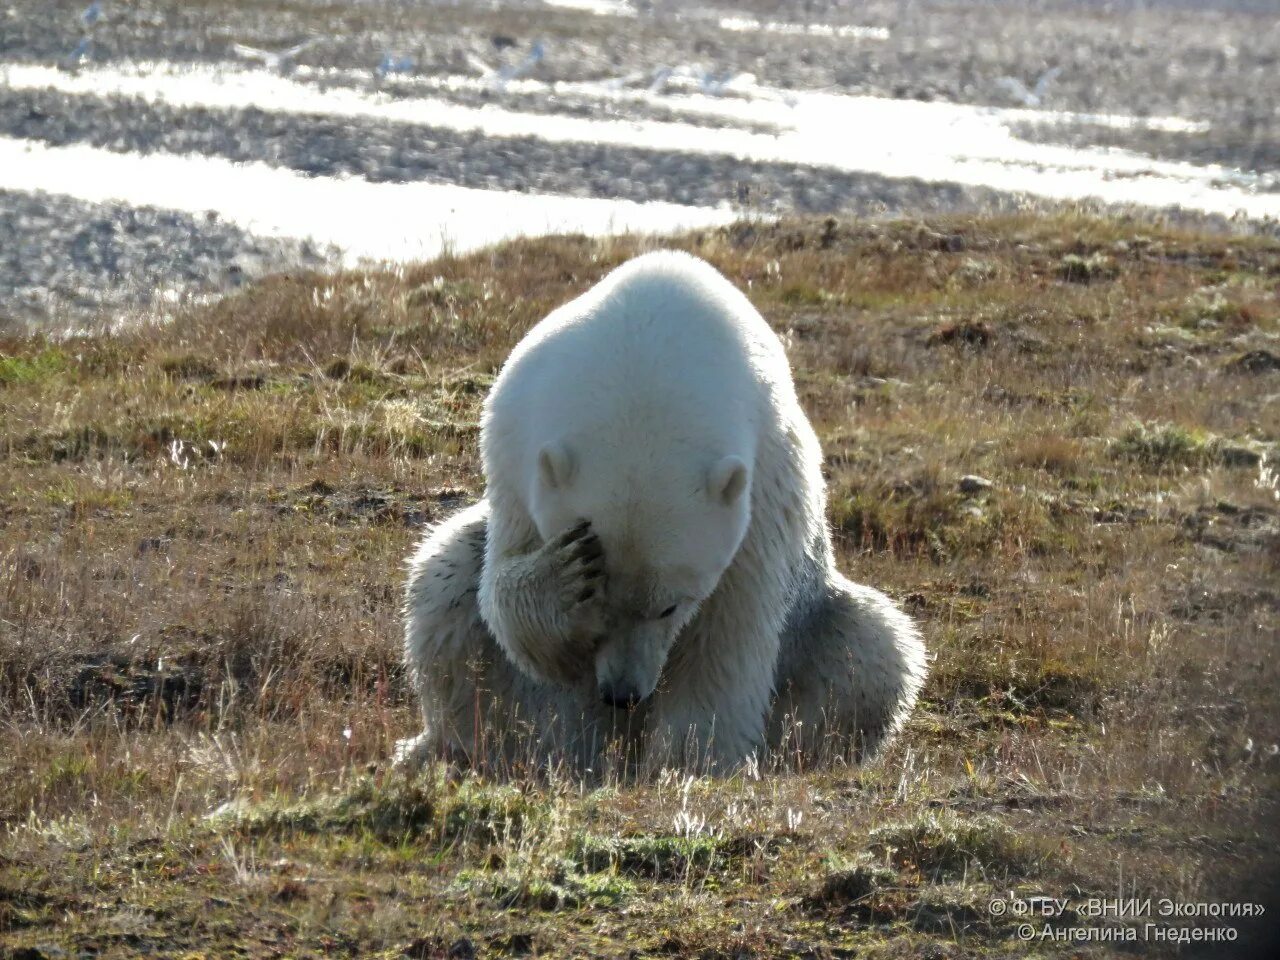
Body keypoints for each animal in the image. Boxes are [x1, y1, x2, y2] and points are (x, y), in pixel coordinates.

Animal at [394, 252, 926, 778]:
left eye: (671, 605)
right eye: (599, 602)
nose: (622, 695)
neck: (646, 349)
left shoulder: (763, 492)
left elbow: (726, 637)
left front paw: (691, 764)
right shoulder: (513, 449)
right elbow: (506, 592)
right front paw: (563, 573)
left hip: (815, 620)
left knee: (870, 649)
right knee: (445, 581)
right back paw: (456, 748)